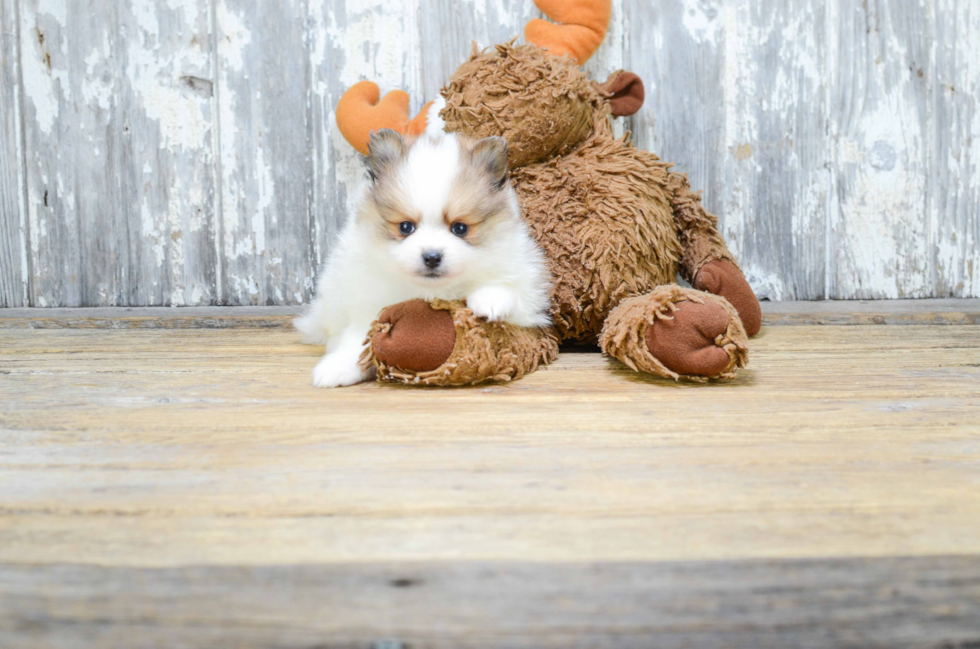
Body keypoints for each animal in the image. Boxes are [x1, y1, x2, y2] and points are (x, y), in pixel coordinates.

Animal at [292, 129, 552, 388]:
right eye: (406, 227)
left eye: (460, 228)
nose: (432, 257)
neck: (432, 290)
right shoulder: (368, 300)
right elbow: (360, 337)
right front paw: (338, 367)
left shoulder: (527, 291)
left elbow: (510, 292)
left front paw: (489, 300)